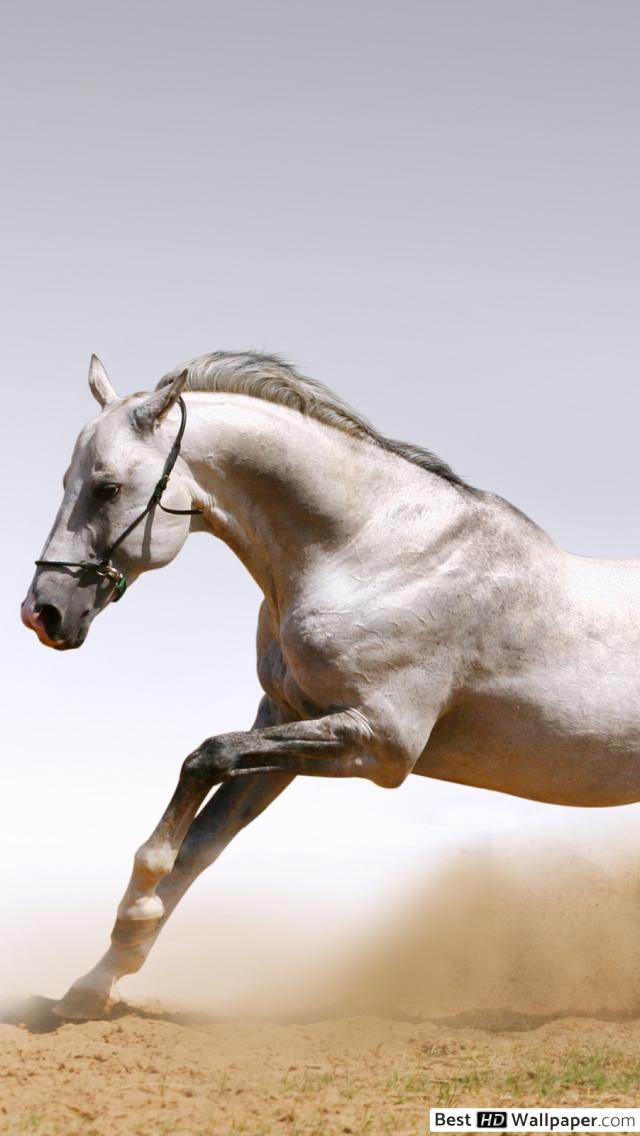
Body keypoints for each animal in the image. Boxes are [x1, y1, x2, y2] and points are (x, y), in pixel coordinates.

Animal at [21, 351, 640, 1020]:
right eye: (66, 481)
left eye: (107, 488)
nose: (42, 613)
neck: (369, 554)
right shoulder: (285, 723)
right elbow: (202, 844)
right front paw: (92, 985)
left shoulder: (379, 743)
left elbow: (203, 760)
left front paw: (136, 906)